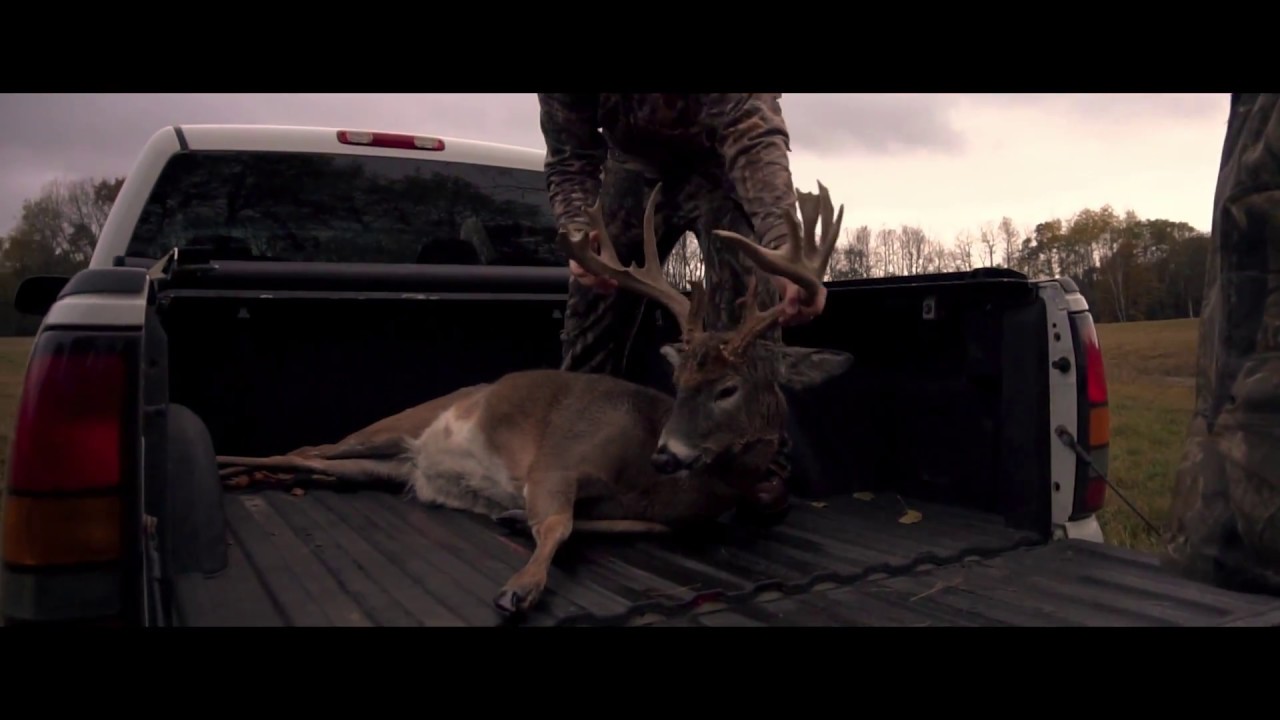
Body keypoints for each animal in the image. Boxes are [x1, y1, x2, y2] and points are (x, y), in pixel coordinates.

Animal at [215, 180, 853, 616]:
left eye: (727, 388)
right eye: (679, 384)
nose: (668, 453)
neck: (645, 478)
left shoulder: (654, 512)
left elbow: (636, 528)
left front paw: (510, 517)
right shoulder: (558, 460)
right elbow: (558, 524)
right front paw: (519, 587)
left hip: (384, 467)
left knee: (322, 465)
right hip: (394, 423)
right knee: (306, 447)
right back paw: (226, 465)